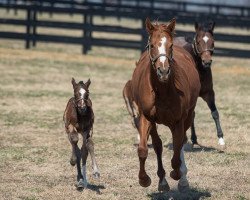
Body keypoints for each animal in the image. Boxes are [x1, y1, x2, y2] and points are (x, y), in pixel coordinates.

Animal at [122, 18, 200, 192]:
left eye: (170, 46)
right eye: (152, 45)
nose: (163, 71)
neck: (162, 91)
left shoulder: (178, 122)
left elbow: (177, 151)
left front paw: (177, 174)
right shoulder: (146, 118)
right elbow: (145, 149)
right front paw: (144, 179)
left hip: (188, 116)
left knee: (181, 142)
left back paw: (182, 178)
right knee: (158, 145)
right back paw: (162, 180)